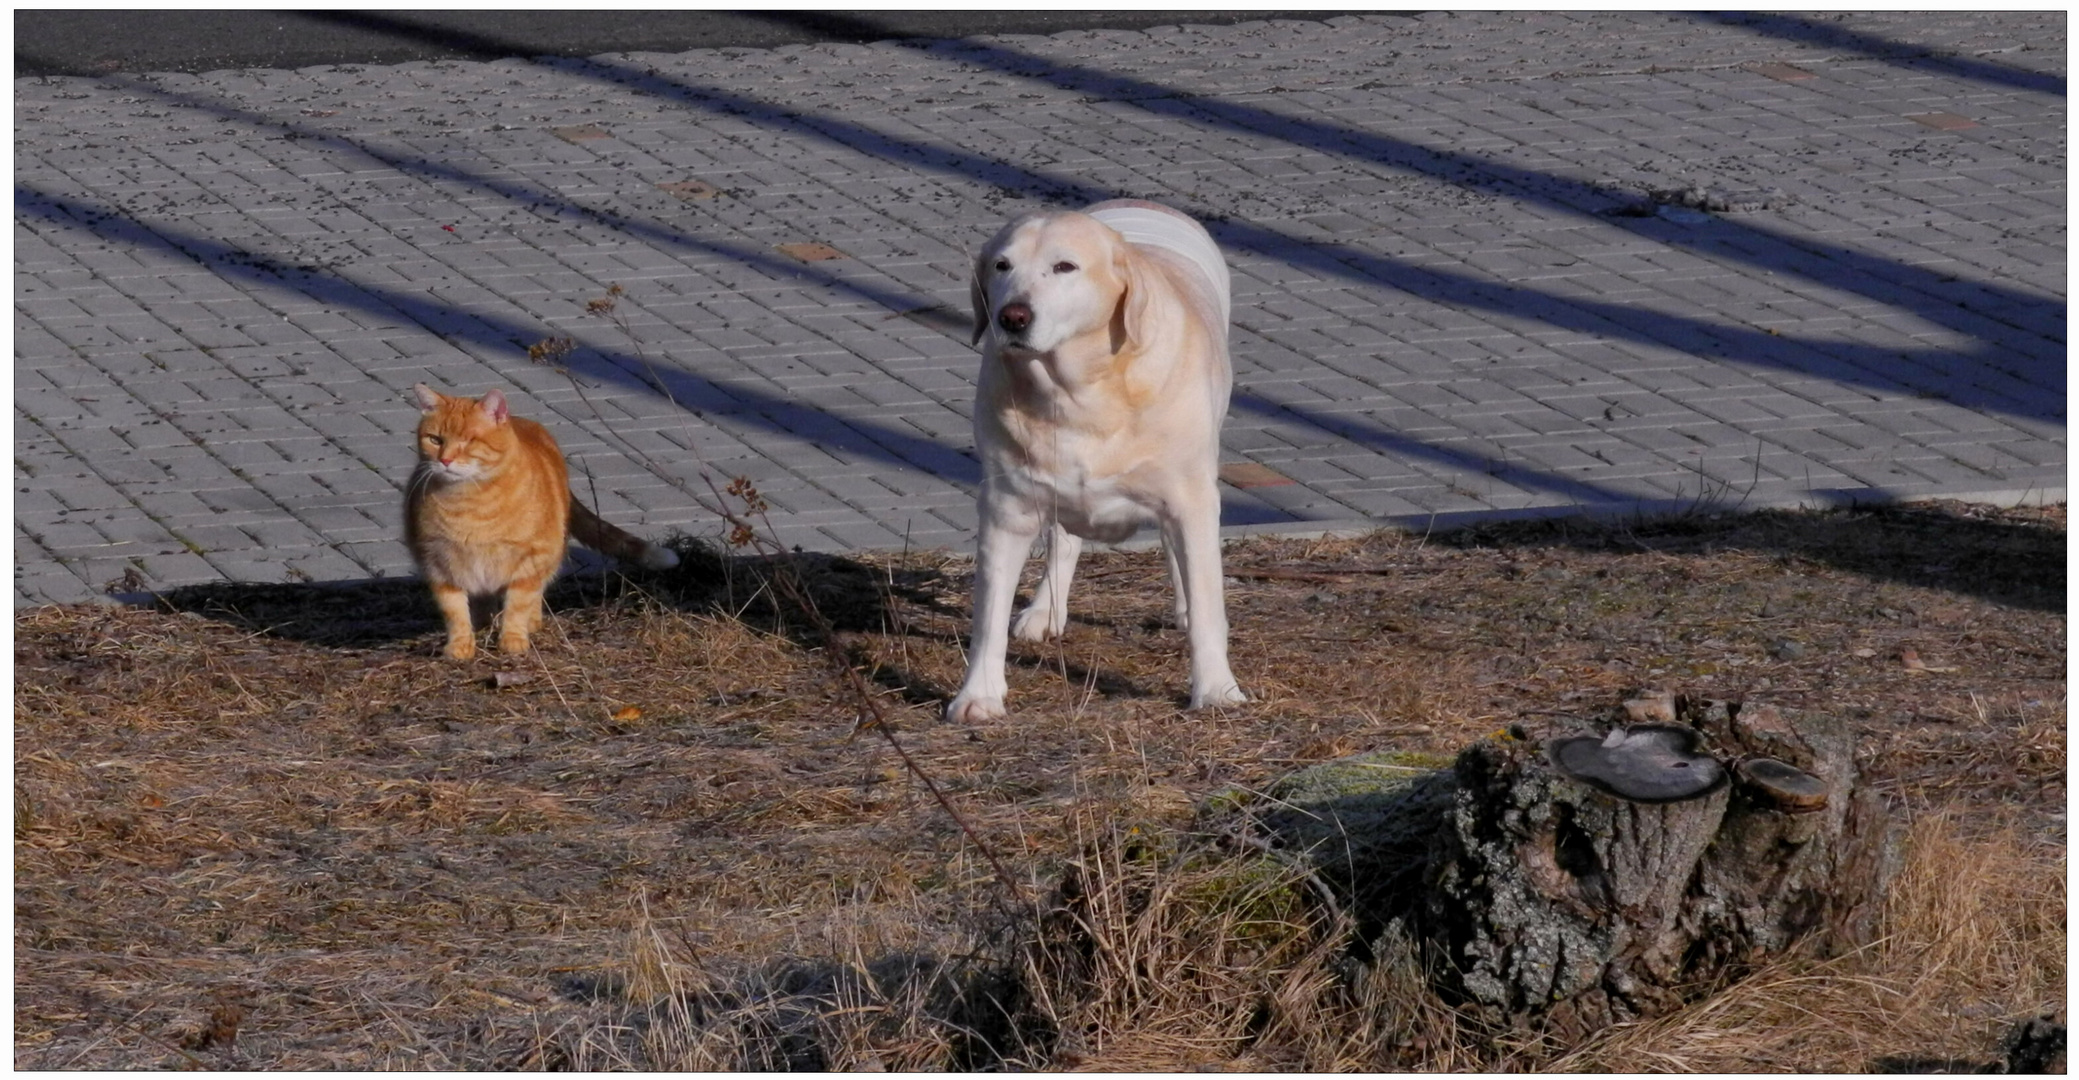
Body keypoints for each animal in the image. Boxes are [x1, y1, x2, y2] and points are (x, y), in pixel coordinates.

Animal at [397, 389, 673, 657]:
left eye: (469, 441)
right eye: (435, 440)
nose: (445, 460)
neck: (469, 503)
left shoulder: (531, 558)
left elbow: (518, 604)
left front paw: (512, 639)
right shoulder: (437, 564)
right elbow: (455, 612)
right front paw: (461, 646)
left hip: (550, 554)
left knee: (534, 595)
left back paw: (527, 623)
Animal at [948, 200, 1247, 728]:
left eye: (1064, 267)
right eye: (1002, 265)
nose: (1012, 316)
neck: (1079, 393)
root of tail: (1145, 203)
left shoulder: (1190, 497)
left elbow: (1208, 605)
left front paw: (1215, 690)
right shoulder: (1006, 509)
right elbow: (988, 615)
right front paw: (978, 696)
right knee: (1063, 539)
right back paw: (1045, 611)